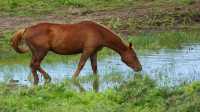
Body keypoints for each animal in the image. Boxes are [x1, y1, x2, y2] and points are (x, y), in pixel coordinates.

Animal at [10, 20, 142, 85]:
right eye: (134, 55)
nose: (139, 68)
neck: (99, 33)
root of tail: (26, 30)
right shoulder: (87, 50)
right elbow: (81, 65)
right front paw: (73, 79)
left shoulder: (93, 52)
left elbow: (94, 67)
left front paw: (96, 80)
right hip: (41, 51)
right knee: (35, 64)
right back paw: (47, 77)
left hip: (36, 52)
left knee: (32, 65)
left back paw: (38, 80)